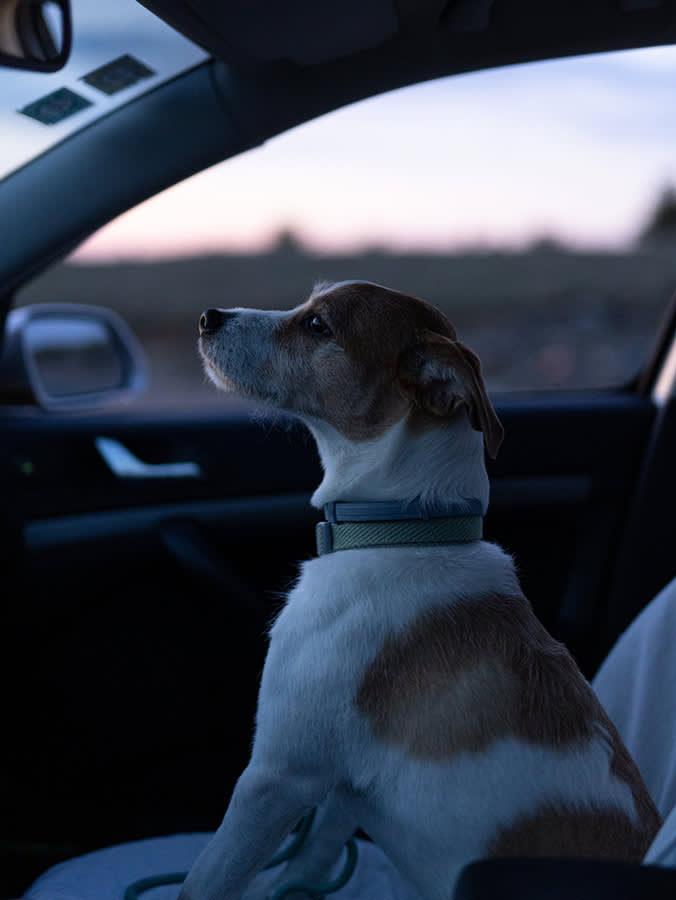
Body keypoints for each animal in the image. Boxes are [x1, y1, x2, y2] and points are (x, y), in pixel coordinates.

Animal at [184, 282, 660, 900]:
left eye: (317, 325)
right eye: (309, 301)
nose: (207, 317)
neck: (401, 531)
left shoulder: (277, 777)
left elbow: (204, 881)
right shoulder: (343, 790)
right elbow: (310, 859)